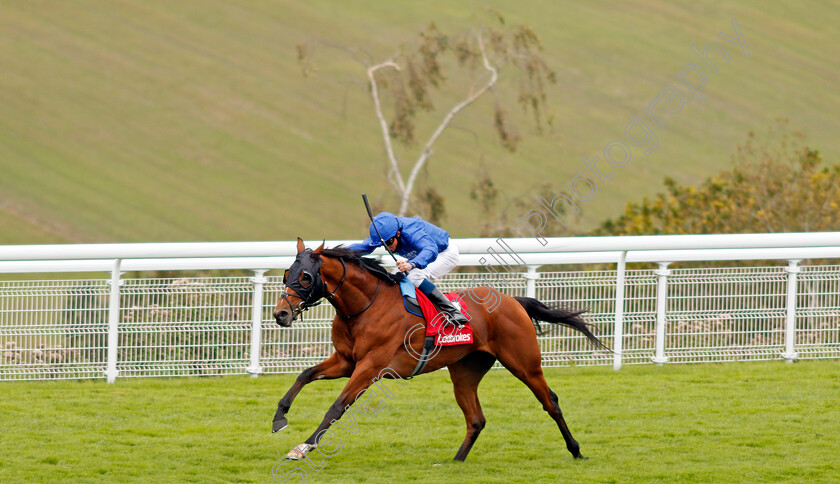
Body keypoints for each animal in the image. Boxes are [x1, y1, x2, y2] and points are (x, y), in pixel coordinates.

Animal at [272, 238, 608, 462]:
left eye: (305, 276)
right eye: (287, 272)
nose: (281, 314)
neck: (365, 306)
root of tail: (512, 300)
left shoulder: (370, 367)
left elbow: (336, 407)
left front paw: (302, 447)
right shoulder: (345, 361)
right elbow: (304, 375)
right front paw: (279, 418)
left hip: (524, 363)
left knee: (550, 401)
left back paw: (576, 450)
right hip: (465, 372)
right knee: (476, 419)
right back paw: (455, 462)